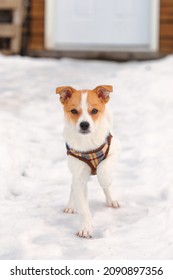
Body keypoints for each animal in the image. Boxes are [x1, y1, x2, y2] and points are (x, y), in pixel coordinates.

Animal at [56, 85, 119, 238]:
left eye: (94, 111)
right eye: (74, 111)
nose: (84, 124)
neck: (87, 142)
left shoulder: (115, 150)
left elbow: (103, 169)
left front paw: (105, 180)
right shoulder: (79, 176)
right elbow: (83, 208)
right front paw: (85, 228)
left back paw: (111, 199)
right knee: (73, 186)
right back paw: (71, 205)